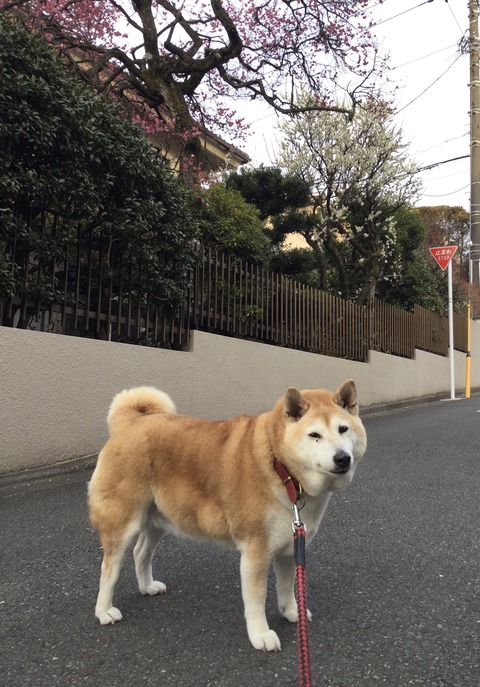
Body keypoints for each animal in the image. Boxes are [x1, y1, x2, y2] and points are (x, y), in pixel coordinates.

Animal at [89, 378, 368, 652]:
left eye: (343, 429)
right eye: (314, 435)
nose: (342, 458)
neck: (280, 467)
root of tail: (128, 421)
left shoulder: (289, 546)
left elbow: (287, 587)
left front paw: (291, 612)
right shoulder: (256, 552)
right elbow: (256, 599)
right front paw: (261, 634)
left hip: (158, 519)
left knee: (140, 552)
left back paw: (147, 587)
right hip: (123, 523)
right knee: (109, 569)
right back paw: (104, 611)